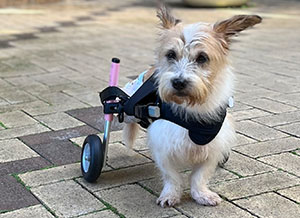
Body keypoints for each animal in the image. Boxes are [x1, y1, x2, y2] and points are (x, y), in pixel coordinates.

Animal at [123, 4, 262, 206]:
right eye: (171, 55)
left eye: (202, 58)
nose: (178, 82)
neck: (191, 108)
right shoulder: (163, 146)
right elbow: (172, 176)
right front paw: (170, 194)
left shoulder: (213, 148)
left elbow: (199, 176)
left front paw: (201, 194)